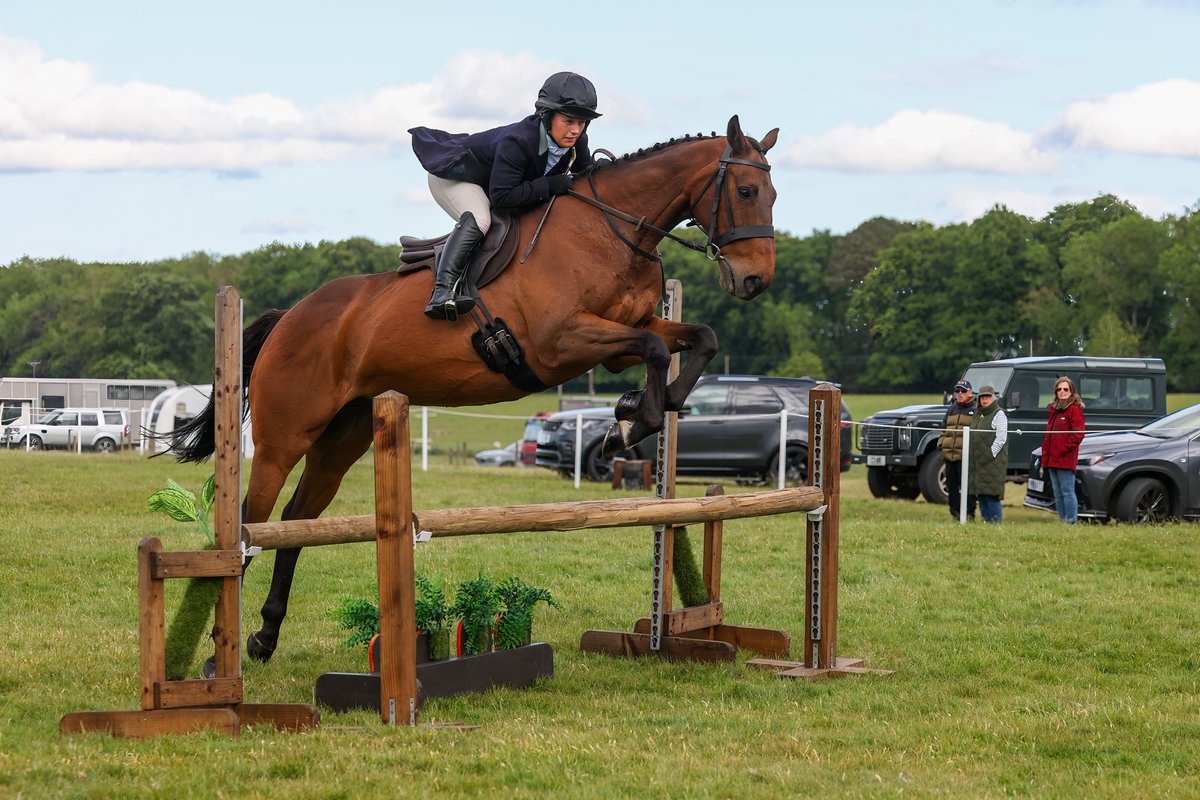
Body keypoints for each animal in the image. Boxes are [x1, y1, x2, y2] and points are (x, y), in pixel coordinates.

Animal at [170, 115, 779, 664]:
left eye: (773, 193)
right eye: (747, 191)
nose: (754, 280)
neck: (612, 232)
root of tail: (290, 316)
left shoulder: (620, 339)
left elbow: (696, 339)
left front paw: (637, 413)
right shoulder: (560, 343)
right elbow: (655, 349)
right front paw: (629, 425)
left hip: (344, 436)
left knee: (295, 521)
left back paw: (263, 638)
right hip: (285, 437)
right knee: (252, 521)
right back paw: (217, 655)